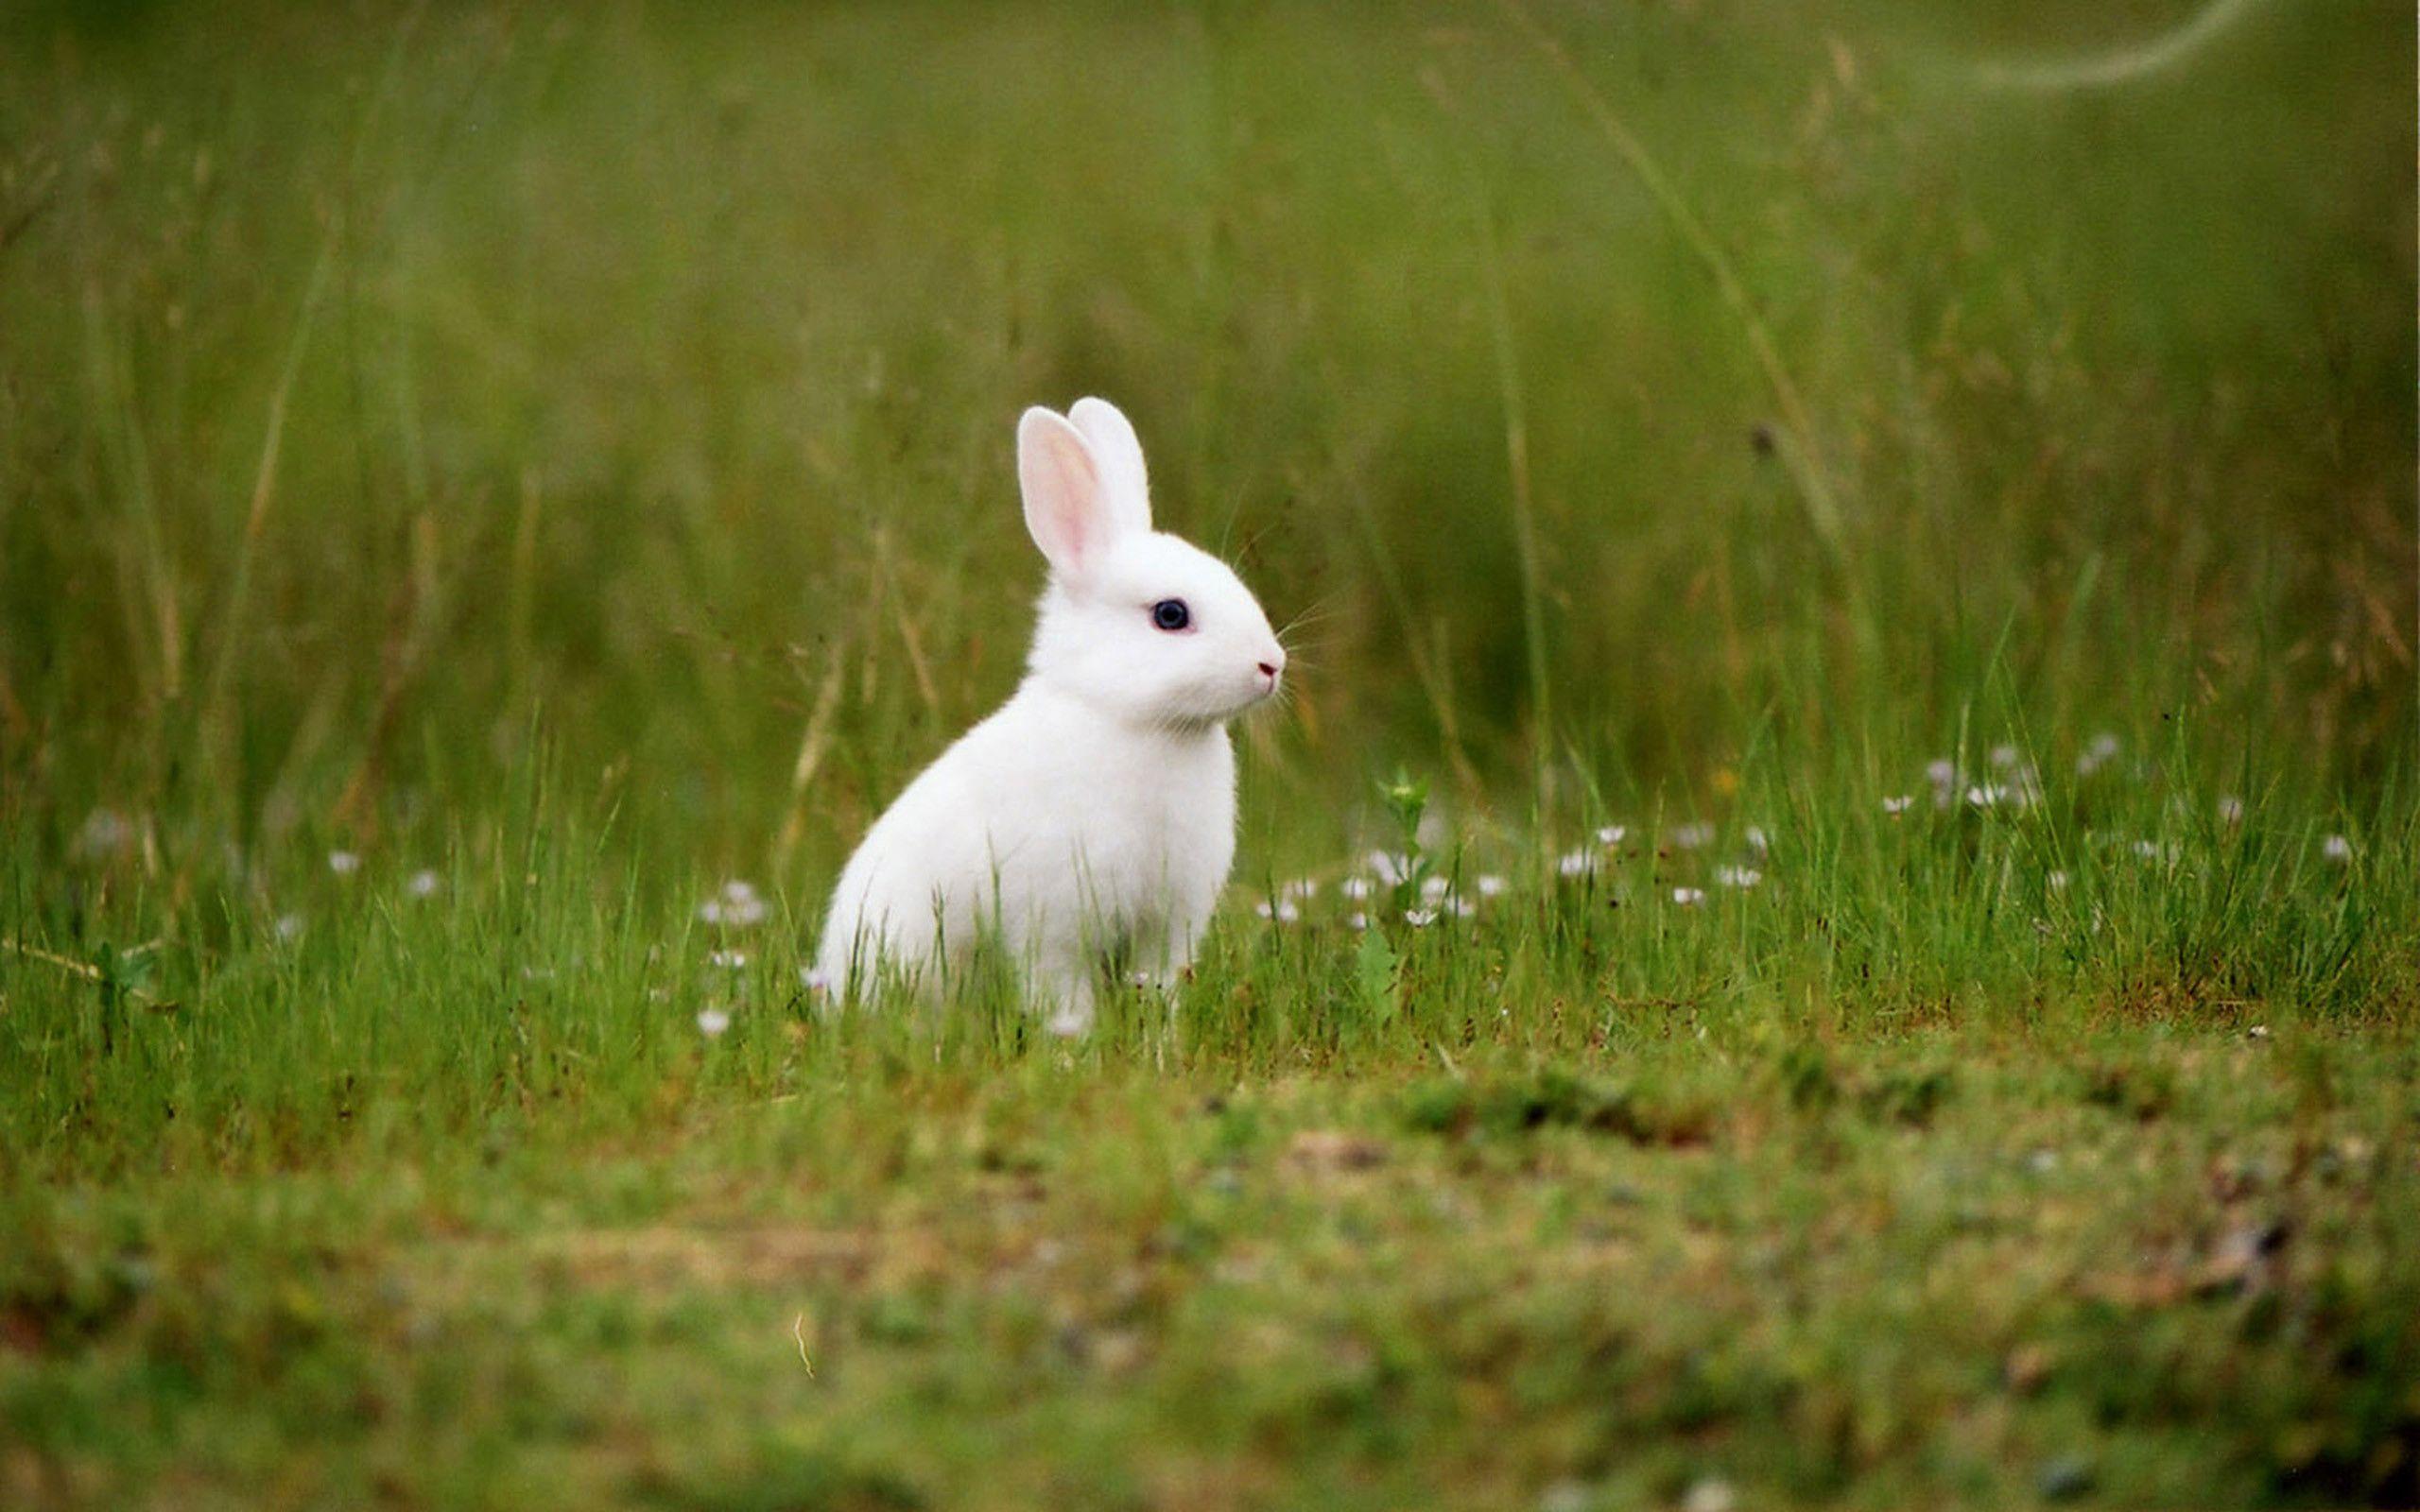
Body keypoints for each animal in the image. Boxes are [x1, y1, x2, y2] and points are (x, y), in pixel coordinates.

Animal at [818, 394, 1287, 1030]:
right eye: (1170, 614)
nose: (1272, 665)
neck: (1127, 718)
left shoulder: (1169, 926)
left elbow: (1160, 988)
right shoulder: (1051, 925)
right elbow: (1063, 996)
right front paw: (1077, 1046)